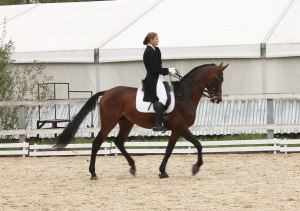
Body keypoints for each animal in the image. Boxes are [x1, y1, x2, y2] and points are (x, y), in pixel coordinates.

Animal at [54, 62, 227, 180]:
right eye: (218, 78)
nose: (217, 99)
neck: (185, 96)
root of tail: (107, 92)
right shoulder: (181, 128)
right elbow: (195, 144)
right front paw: (194, 167)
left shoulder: (177, 130)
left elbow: (172, 149)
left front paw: (164, 170)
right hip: (109, 122)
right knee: (97, 143)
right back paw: (93, 173)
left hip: (126, 122)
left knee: (119, 142)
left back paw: (132, 167)